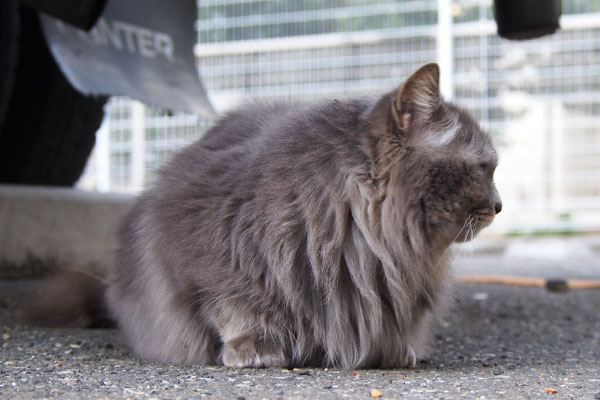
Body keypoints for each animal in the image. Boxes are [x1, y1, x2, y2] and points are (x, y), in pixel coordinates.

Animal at [27, 63, 502, 368]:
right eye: (485, 167)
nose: (499, 204)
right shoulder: (193, 251)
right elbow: (232, 307)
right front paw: (253, 348)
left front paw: (395, 351)